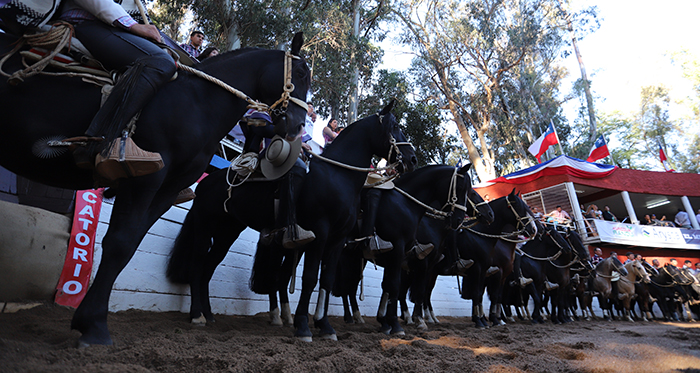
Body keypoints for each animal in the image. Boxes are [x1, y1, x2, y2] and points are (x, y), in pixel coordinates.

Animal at [0, 32, 312, 346]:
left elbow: (129, 244)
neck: (198, 101)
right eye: (300, 73)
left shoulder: (166, 190)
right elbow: (119, 242)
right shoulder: (144, 179)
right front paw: (95, 326)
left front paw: (90, 319)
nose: (298, 126)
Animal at [165, 102, 416, 340]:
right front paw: (304, 325)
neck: (336, 175)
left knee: (210, 266)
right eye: (395, 126)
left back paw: (208, 314)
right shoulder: (320, 232)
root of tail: (205, 183)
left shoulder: (338, 239)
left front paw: (325, 326)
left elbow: (326, 280)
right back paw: (197, 314)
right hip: (205, 226)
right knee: (198, 264)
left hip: (227, 232)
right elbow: (310, 278)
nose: (412, 158)